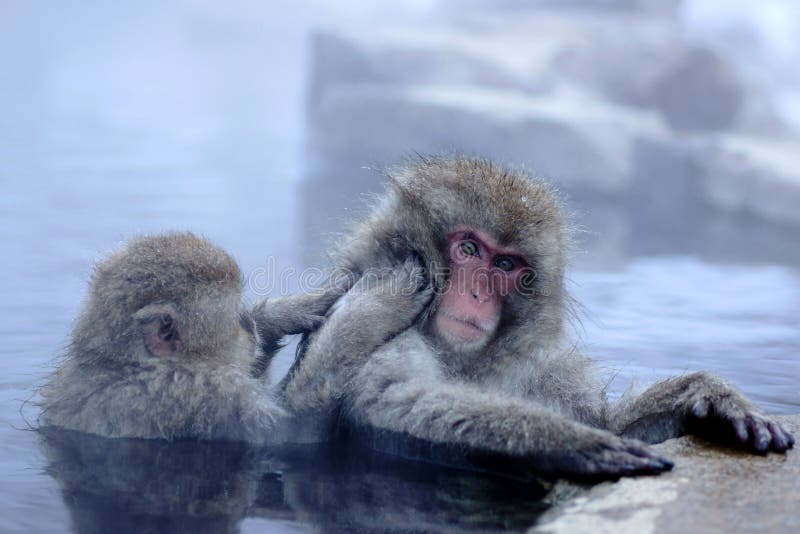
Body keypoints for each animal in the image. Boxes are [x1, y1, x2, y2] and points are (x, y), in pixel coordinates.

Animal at [39, 232, 339, 441]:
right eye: (236, 318)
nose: (250, 323)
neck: (131, 365)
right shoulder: (201, 395)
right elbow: (300, 434)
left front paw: (280, 315)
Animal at [281, 157, 794, 480]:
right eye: (470, 249)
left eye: (507, 265)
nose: (476, 294)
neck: (469, 363)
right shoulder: (399, 336)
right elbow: (392, 400)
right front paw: (566, 441)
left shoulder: (544, 368)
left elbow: (609, 421)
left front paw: (709, 397)